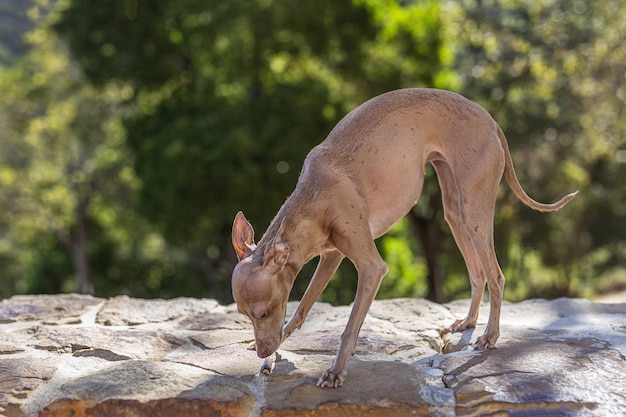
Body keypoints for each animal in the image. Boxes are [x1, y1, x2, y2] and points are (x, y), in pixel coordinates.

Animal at [229, 88, 576, 386]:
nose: (263, 350)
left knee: (497, 276)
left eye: (263, 312)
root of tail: (488, 118)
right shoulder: (332, 256)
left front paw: (336, 372)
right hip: (455, 213)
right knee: (478, 273)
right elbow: (302, 309)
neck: (315, 195)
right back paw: (468, 322)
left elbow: (348, 327)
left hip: (474, 212)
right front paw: (278, 349)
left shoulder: (371, 268)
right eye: (245, 315)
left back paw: (490, 336)